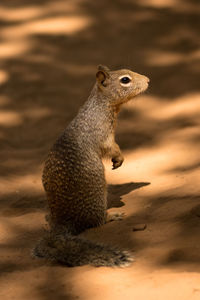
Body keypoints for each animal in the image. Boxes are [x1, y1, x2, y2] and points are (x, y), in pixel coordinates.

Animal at [33, 64, 148, 266]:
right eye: (125, 80)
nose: (148, 80)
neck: (99, 106)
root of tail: (63, 222)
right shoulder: (104, 135)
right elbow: (112, 147)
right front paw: (119, 158)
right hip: (98, 196)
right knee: (97, 222)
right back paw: (113, 215)